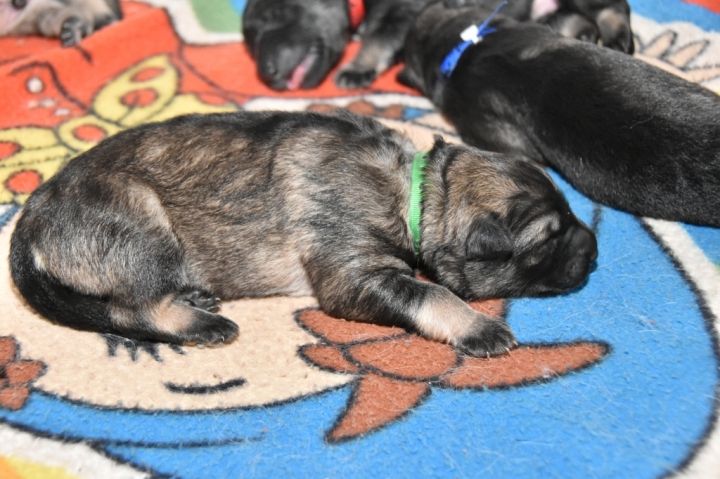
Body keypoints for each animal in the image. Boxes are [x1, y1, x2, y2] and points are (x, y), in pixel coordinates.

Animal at [10, 110, 597, 357]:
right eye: (546, 240)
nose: (594, 252)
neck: (413, 189)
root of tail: (29, 220)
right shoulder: (354, 275)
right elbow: (430, 292)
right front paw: (478, 327)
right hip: (142, 219)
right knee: (132, 309)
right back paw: (204, 324)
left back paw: (196, 296)